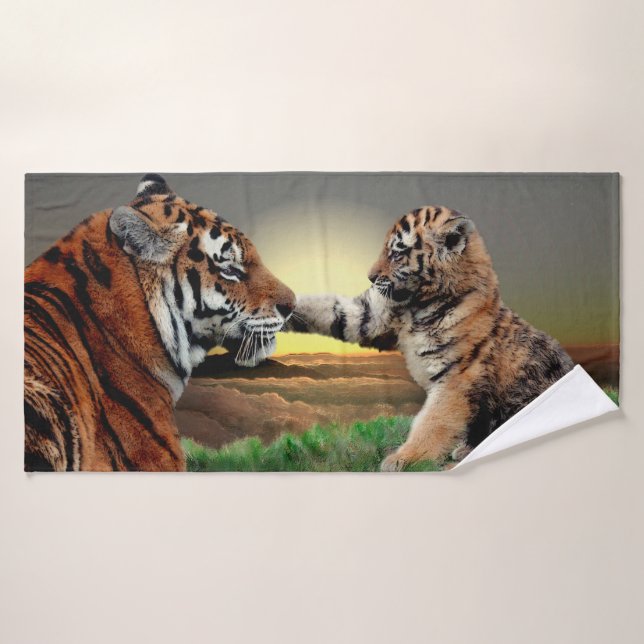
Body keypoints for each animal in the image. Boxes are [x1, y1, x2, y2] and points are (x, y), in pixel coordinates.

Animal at [288, 206, 574, 471]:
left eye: (397, 253)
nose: (370, 277)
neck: (418, 304)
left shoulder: (455, 377)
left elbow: (432, 422)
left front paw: (403, 459)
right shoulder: (373, 314)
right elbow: (332, 309)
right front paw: (285, 304)